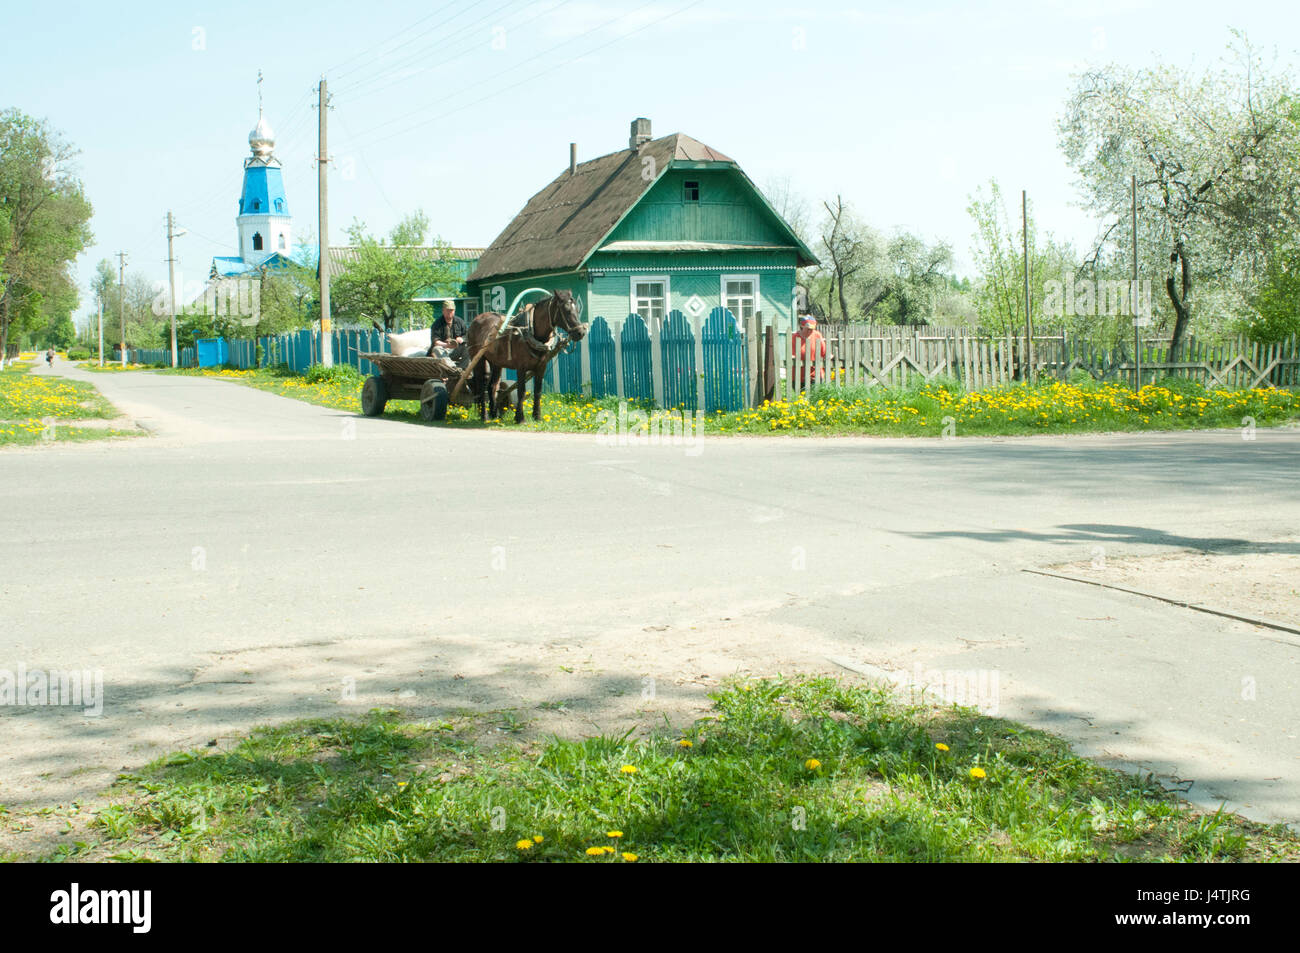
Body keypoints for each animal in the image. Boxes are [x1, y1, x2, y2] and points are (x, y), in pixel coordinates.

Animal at [462, 291, 585, 421]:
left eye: (577, 309)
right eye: (566, 310)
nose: (580, 333)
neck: (532, 333)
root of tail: (476, 319)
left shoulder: (541, 367)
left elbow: (538, 391)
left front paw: (537, 416)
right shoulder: (521, 368)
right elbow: (521, 391)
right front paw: (520, 418)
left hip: (496, 363)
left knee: (492, 387)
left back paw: (494, 415)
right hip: (478, 359)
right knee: (481, 387)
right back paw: (484, 416)